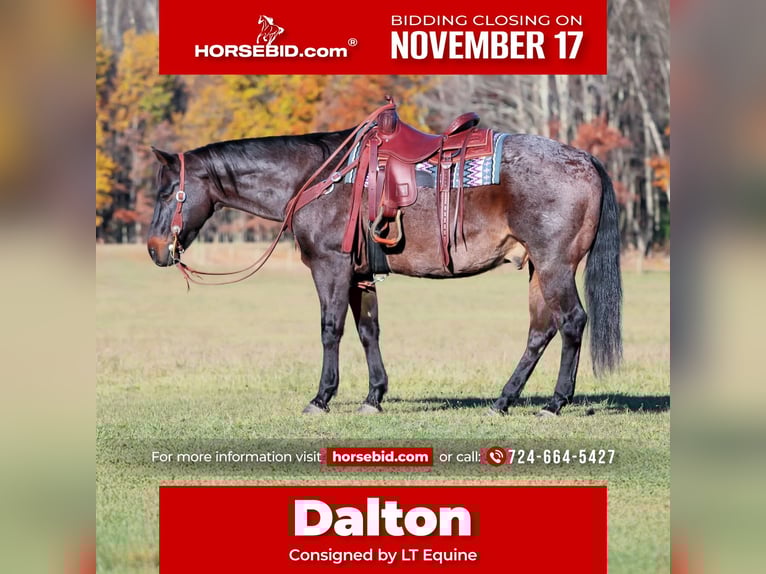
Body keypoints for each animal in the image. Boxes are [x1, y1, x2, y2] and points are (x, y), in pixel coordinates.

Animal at [146, 107, 622, 417]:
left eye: (168, 191)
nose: (154, 248)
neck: (318, 177)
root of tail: (585, 159)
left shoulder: (331, 266)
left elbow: (331, 329)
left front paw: (321, 398)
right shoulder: (360, 274)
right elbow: (367, 330)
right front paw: (374, 397)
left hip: (555, 265)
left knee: (572, 322)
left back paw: (555, 403)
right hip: (539, 268)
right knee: (540, 331)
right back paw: (504, 400)